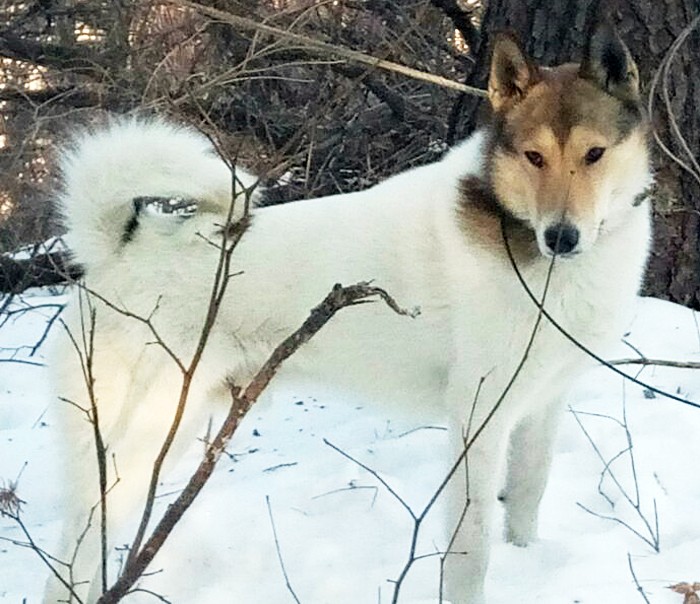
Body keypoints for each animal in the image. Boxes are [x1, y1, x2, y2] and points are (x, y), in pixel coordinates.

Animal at [45, 20, 651, 604]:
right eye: (534, 157)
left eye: (594, 154)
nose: (562, 238)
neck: (526, 243)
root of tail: (121, 247)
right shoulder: (479, 419)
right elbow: (472, 546)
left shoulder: (542, 406)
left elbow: (527, 499)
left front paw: (528, 563)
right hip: (143, 438)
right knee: (77, 547)